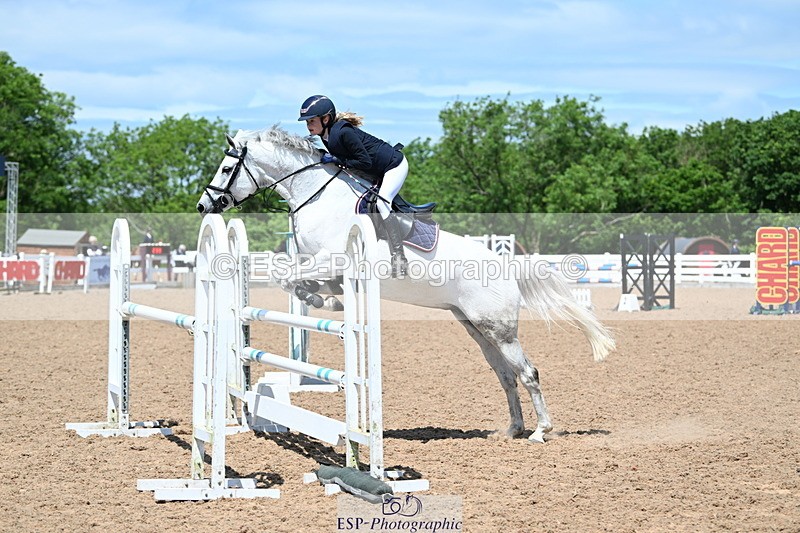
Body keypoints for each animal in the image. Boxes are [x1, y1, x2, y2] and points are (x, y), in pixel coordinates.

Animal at [197, 126, 615, 443]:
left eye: (226, 167)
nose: (204, 206)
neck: (316, 195)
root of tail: (506, 265)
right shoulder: (324, 266)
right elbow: (291, 276)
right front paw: (323, 300)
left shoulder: (334, 259)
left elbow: (287, 277)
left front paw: (318, 300)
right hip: (477, 328)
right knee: (506, 375)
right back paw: (512, 429)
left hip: (500, 329)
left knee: (528, 373)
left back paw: (541, 432)